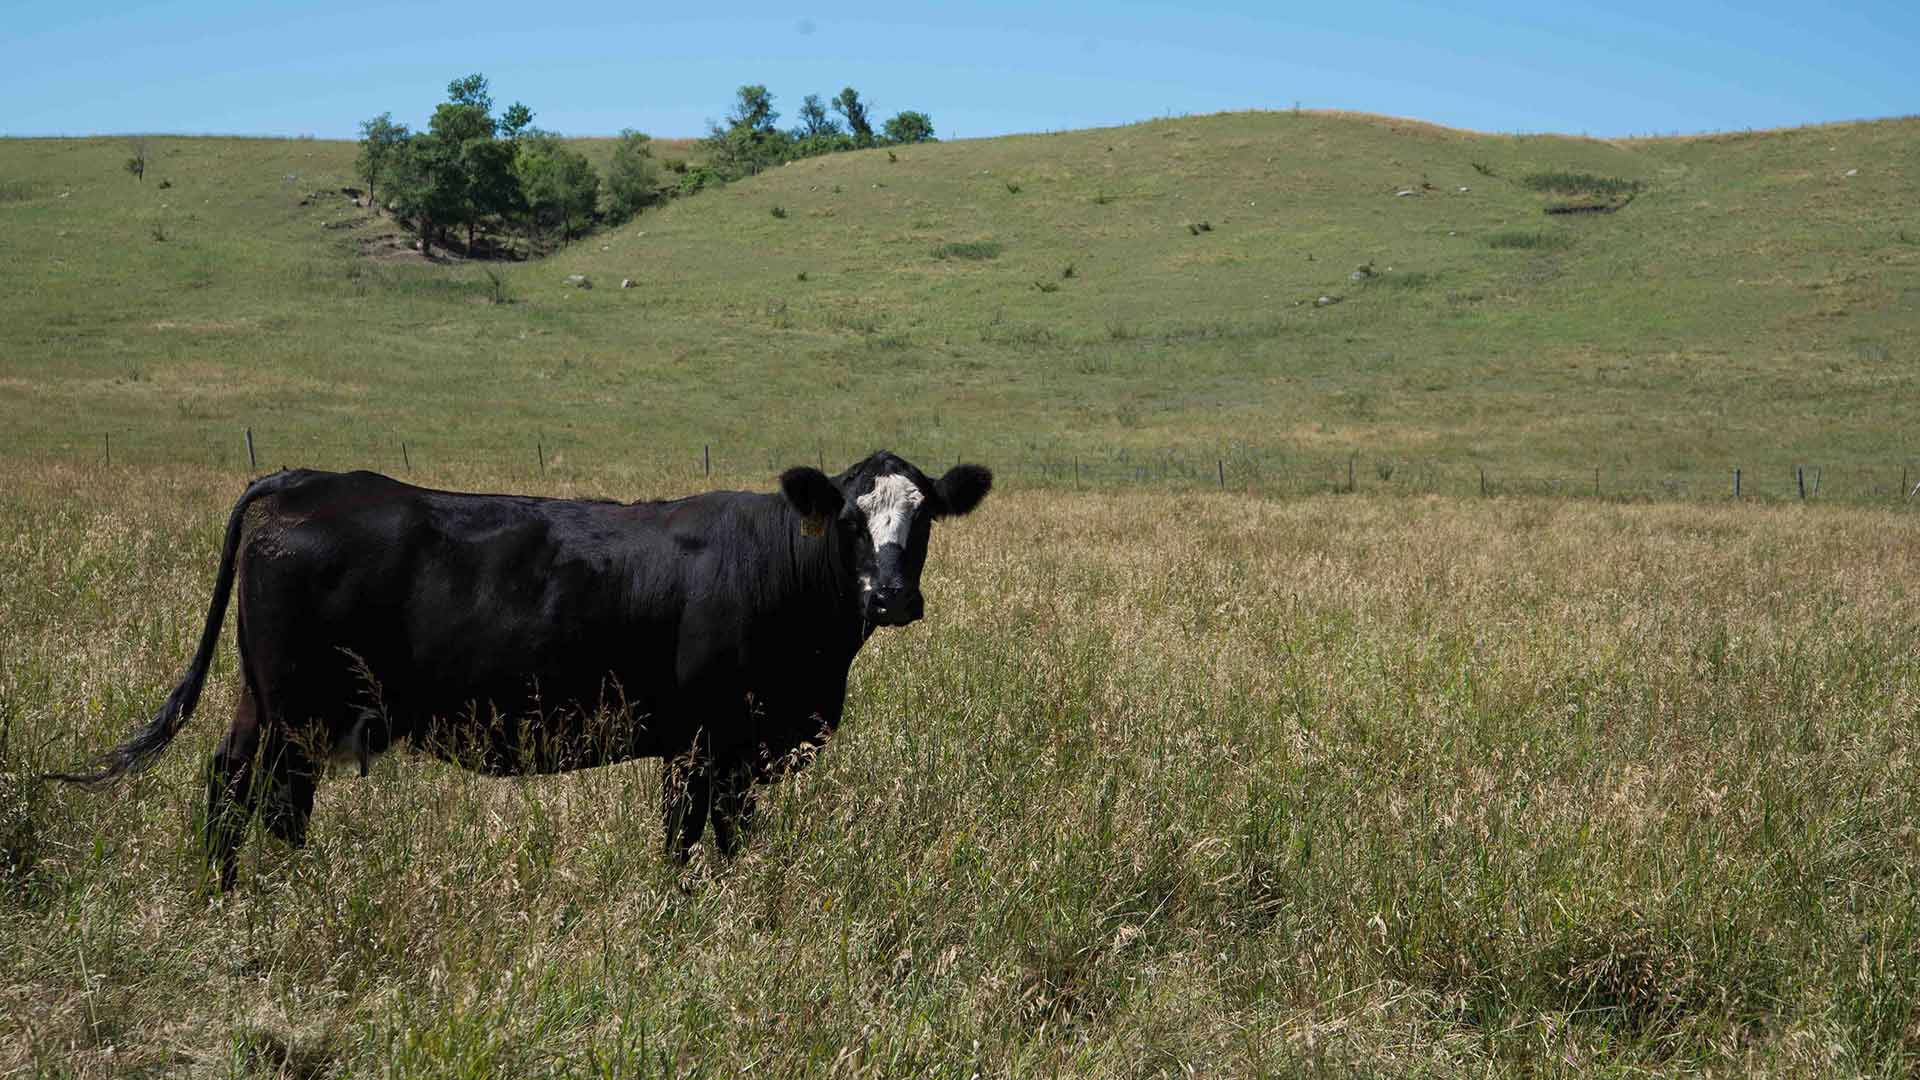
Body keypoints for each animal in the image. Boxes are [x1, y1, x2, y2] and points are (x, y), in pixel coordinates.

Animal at [54, 451, 992, 888]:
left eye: (924, 519)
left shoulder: (743, 752)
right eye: (850, 520)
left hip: (270, 697)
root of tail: (304, 479)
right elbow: (687, 841)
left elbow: (731, 839)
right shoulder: (705, 741)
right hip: (298, 705)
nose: (892, 597)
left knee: (240, 785)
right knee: (261, 793)